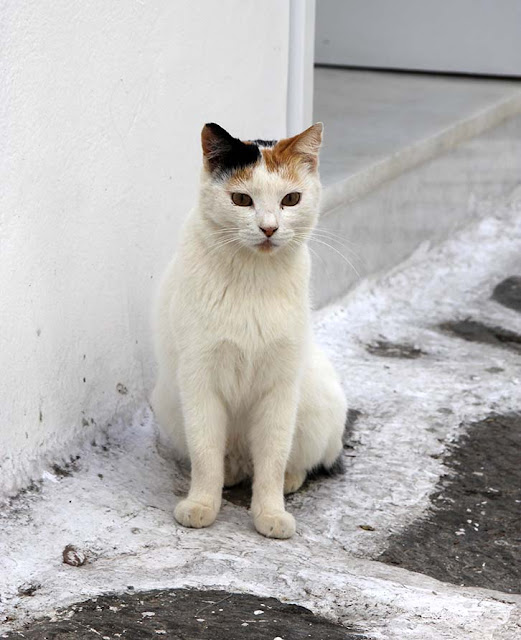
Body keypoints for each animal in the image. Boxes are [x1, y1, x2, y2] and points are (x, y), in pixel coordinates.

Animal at [150, 122, 346, 536]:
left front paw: (270, 514)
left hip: (315, 399)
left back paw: (288, 478)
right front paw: (202, 504)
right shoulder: (200, 379)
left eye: (291, 199)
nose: (269, 228)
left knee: (295, 460)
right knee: (226, 458)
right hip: (169, 401)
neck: (252, 279)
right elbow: (206, 451)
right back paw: (230, 474)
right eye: (241, 199)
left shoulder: (280, 386)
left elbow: (272, 455)